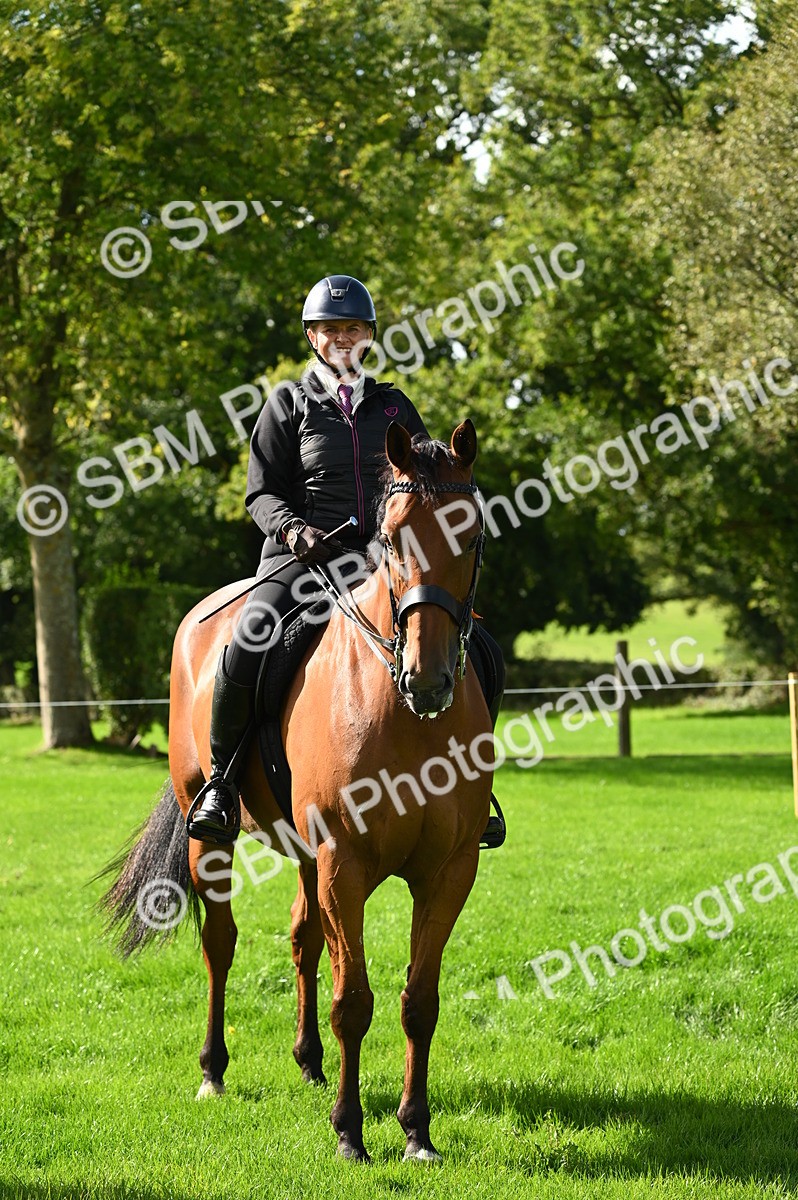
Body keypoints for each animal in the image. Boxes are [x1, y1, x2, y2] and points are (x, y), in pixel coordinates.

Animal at [100, 419, 495, 1163]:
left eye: (473, 535)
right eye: (392, 536)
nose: (428, 680)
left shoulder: (448, 870)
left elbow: (418, 1002)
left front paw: (416, 1131)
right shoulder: (347, 861)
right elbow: (354, 1001)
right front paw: (350, 1132)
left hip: (311, 857)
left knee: (305, 938)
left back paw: (309, 1062)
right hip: (213, 836)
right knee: (220, 943)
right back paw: (214, 1072)